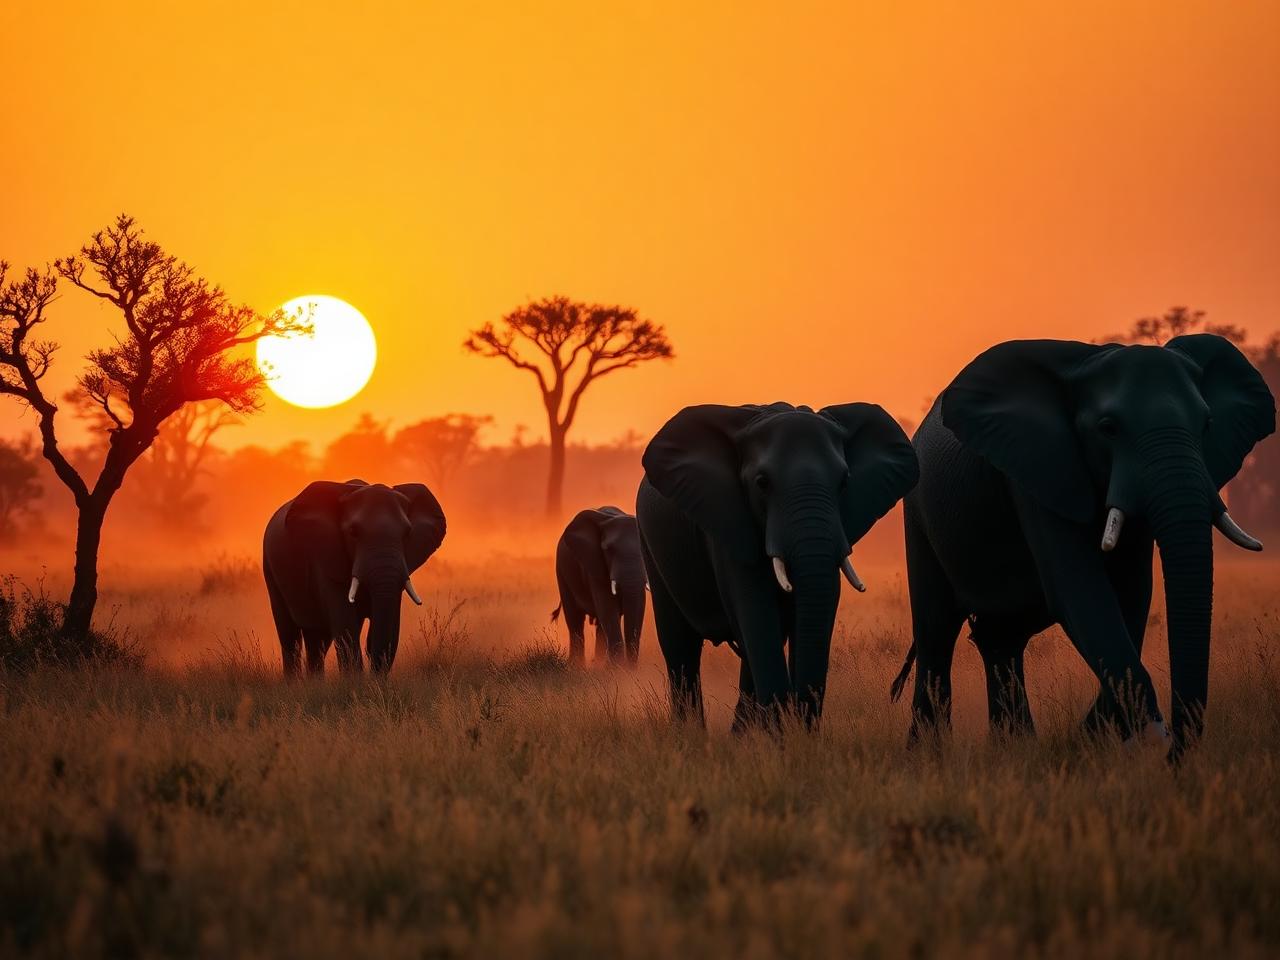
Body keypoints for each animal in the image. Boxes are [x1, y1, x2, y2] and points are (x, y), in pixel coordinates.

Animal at [262, 479, 446, 675]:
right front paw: (356, 681)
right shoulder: (327, 560)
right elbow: (346, 629)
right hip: (269, 567)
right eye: (353, 532)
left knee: (318, 639)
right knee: (290, 637)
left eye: (407, 533)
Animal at [550, 506, 647, 665]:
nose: (630, 667)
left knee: (600, 626)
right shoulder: (594, 563)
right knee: (575, 621)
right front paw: (618, 669)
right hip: (562, 571)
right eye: (608, 550)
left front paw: (620, 669)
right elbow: (607, 607)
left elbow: (637, 606)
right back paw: (577, 666)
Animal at [637, 402, 919, 727]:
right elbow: (755, 609)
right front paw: (778, 733)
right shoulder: (728, 520)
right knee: (680, 646)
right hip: (650, 543)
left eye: (844, 482)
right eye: (762, 483)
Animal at [891, 335, 1274, 758]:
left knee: (999, 638)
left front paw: (1098, 739)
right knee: (936, 632)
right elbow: (1081, 593)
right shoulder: (1038, 470)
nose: (1174, 756)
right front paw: (1144, 739)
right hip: (919, 513)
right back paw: (928, 755)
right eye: (1108, 429)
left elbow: (1131, 596)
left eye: (1207, 425)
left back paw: (1015, 748)